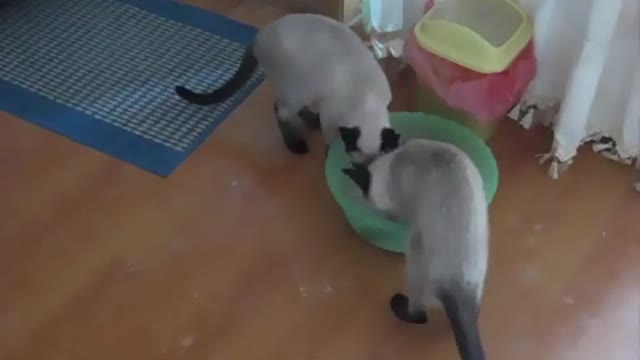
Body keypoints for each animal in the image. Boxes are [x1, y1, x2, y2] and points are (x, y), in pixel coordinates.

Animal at [172, 12, 398, 162]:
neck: (367, 103)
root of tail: (259, 35)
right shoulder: (331, 117)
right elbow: (330, 140)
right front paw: (328, 157)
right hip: (300, 88)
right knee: (280, 110)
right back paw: (296, 144)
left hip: (306, 89)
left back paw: (312, 122)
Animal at [342, 139, 488, 360]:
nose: (367, 204)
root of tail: (458, 289)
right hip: (477, 281)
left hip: (414, 254)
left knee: (419, 314)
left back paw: (398, 305)